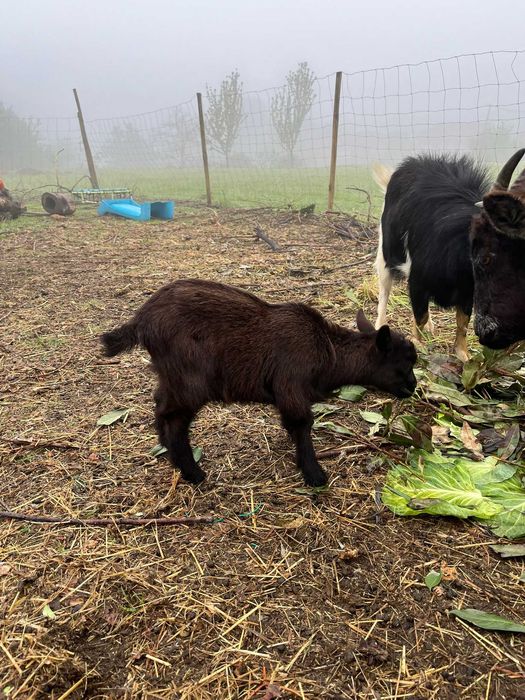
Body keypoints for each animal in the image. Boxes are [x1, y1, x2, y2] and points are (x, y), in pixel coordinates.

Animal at [101, 279, 417, 487]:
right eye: (404, 362)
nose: (413, 388)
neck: (327, 349)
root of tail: (142, 320)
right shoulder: (291, 386)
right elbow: (302, 424)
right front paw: (314, 474)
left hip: (171, 375)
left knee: (160, 406)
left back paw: (169, 453)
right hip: (190, 380)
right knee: (175, 418)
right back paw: (194, 473)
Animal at [372, 153, 520, 361]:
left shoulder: (467, 293)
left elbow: (462, 322)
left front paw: (463, 354)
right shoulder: (418, 282)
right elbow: (421, 314)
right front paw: (417, 343)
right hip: (385, 253)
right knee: (384, 289)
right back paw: (380, 324)